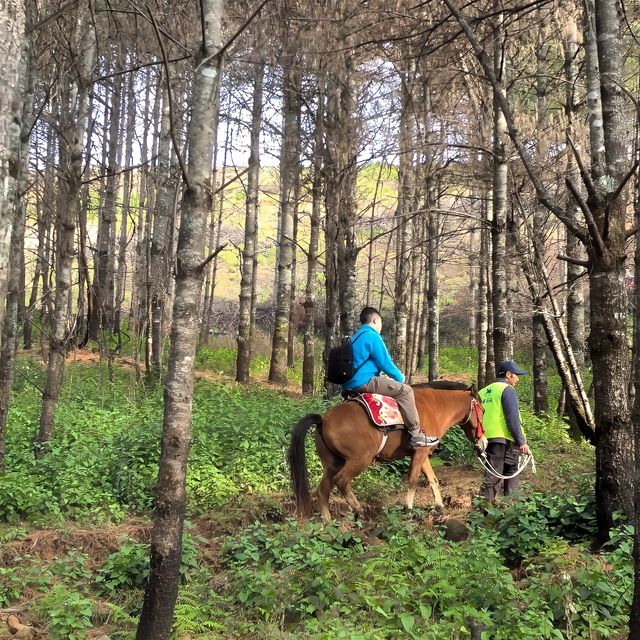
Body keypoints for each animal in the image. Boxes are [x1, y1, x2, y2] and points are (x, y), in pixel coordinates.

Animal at [288, 380, 482, 520]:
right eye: (483, 411)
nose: (483, 441)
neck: (434, 407)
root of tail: (323, 419)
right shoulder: (419, 453)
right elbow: (412, 479)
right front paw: (408, 508)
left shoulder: (423, 452)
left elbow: (432, 478)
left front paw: (439, 506)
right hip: (359, 460)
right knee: (341, 481)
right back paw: (359, 509)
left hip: (332, 463)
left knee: (323, 490)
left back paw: (327, 522)